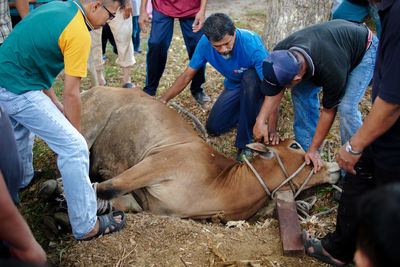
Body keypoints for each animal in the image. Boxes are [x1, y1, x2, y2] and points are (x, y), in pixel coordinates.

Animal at [77, 86, 338, 222]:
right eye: (295, 146)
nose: (333, 167)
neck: (221, 182)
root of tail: (92, 89)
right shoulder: (158, 163)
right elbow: (106, 188)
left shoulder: (147, 203)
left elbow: (113, 198)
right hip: (86, 126)